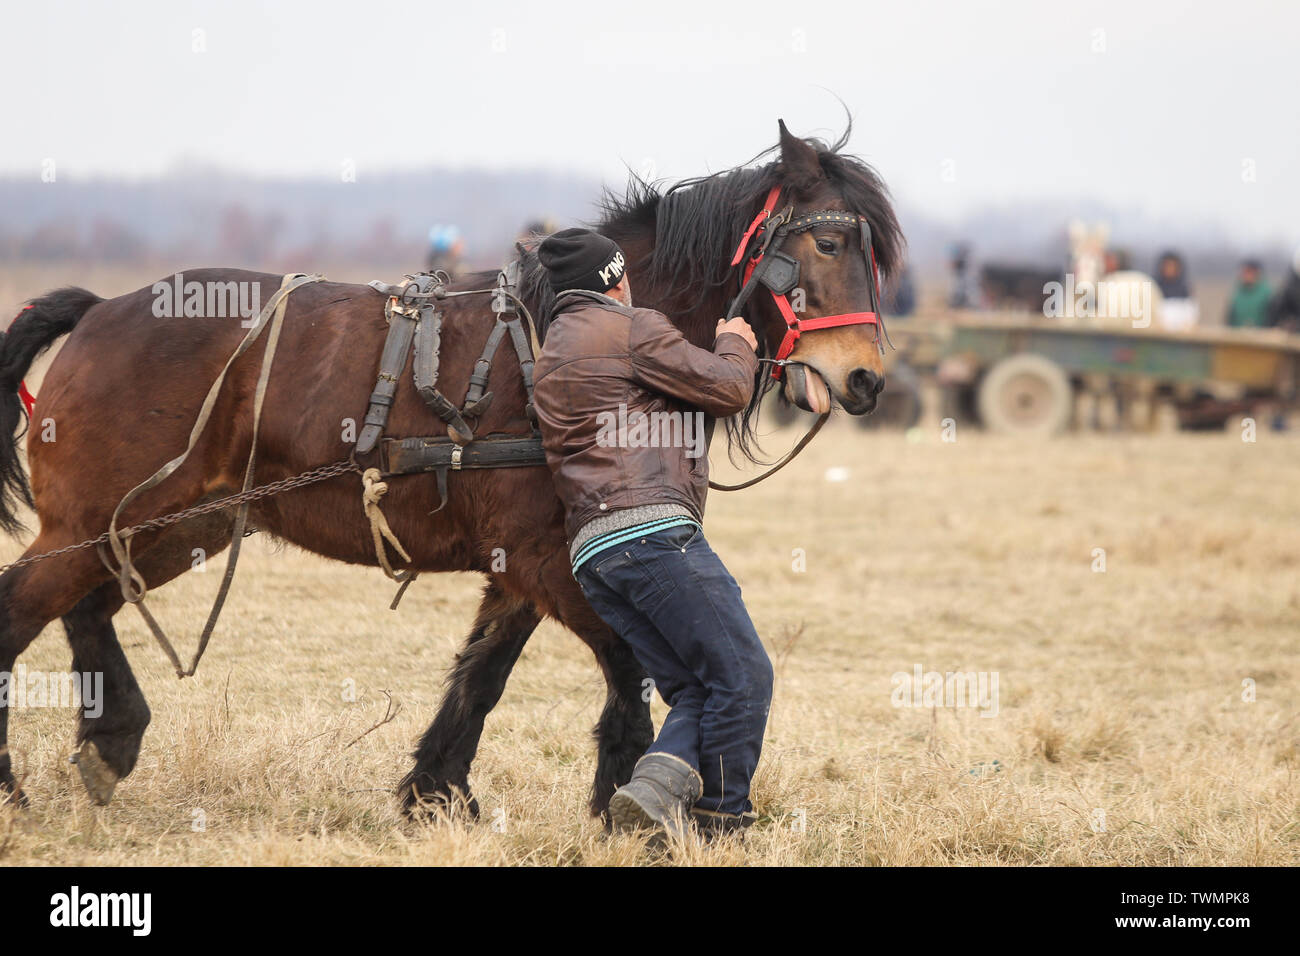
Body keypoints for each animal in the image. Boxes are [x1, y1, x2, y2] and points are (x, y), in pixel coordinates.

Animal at [0, 121, 904, 816]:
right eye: (827, 241)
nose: (866, 379)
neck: (561, 332)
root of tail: (101, 313)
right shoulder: (547, 559)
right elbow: (629, 668)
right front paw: (619, 796)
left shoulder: (525, 565)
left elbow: (484, 675)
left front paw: (437, 792)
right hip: (95, 524)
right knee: (24, 612)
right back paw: (20, 785)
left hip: (179, 523)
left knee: (88, 609)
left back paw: (109, 740)